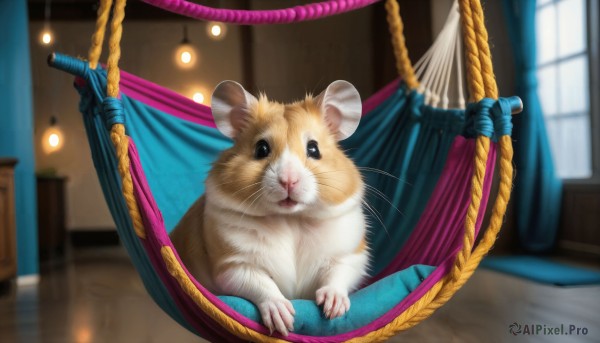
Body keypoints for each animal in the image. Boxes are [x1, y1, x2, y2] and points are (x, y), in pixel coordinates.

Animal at [170, 79, 370, 338]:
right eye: (261, 149)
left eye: (314, 149)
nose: (288, 181)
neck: (291, 218)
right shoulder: (233, 265)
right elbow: (262, 284)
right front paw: (284, 321)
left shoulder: (351, 254)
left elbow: (339, 274)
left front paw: (332, 309)